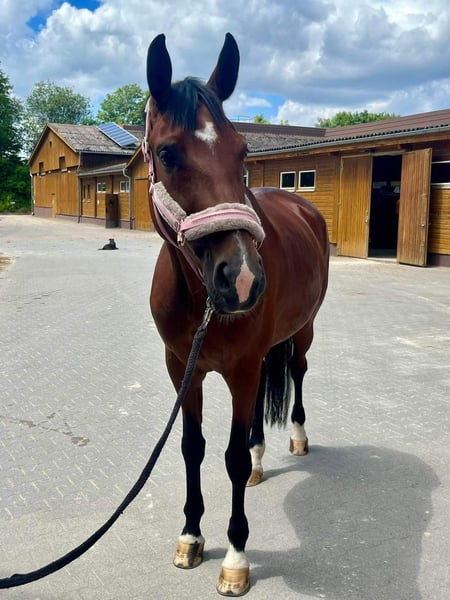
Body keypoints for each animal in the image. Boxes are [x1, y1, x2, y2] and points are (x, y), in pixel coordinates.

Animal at [143, 33, 329, 596]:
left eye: (243, 151)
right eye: (167, 152)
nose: (243, 279)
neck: (199, 298)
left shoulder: (242, 370)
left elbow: (228, 456)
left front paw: (236, 557)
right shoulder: (183, 369)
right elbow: (193, 448)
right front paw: (190, 536)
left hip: (303, 333)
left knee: (296, 372)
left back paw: (295, 439)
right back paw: (260, 463)